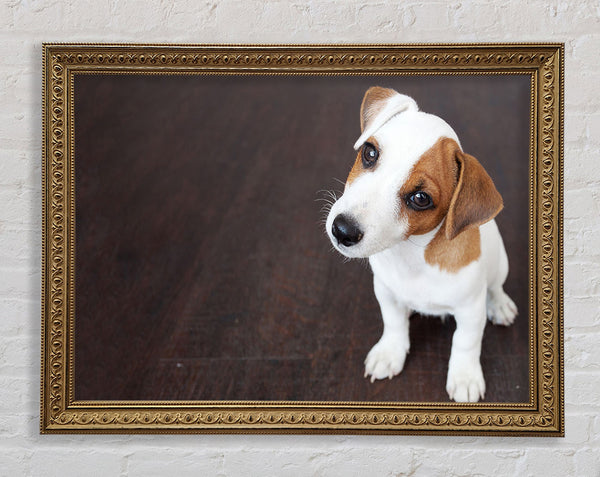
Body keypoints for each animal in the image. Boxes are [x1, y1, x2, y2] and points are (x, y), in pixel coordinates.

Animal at [326, 86, 516, 402]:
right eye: (369, 153)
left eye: (420, 198)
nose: (342, 230)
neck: (413, 256)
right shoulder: (385, 291)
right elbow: (393, 323)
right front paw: (390, 352)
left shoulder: (470, 310)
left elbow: (465, 342)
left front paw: (464, 376)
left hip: (500, 264)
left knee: (495, 286)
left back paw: (500, 304)